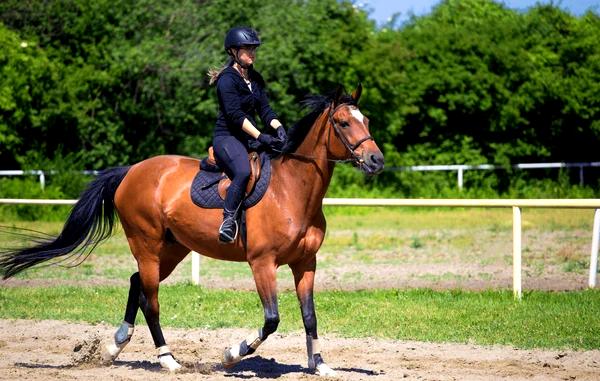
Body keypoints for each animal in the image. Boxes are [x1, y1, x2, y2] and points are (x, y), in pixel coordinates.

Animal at [0, 84, 384, 374]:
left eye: (365, 120)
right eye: (343, 123)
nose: (376, 160)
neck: (292, 191)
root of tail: (131, 171)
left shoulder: (305, 263)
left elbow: (309, 316)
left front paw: (320, 365)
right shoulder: (262, 263)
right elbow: (272, 319)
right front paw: (231, 354)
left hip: (172, 249)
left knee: (136, 283)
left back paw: (114, 347)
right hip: (146, 244)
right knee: (151, 300)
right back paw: (168, 360)